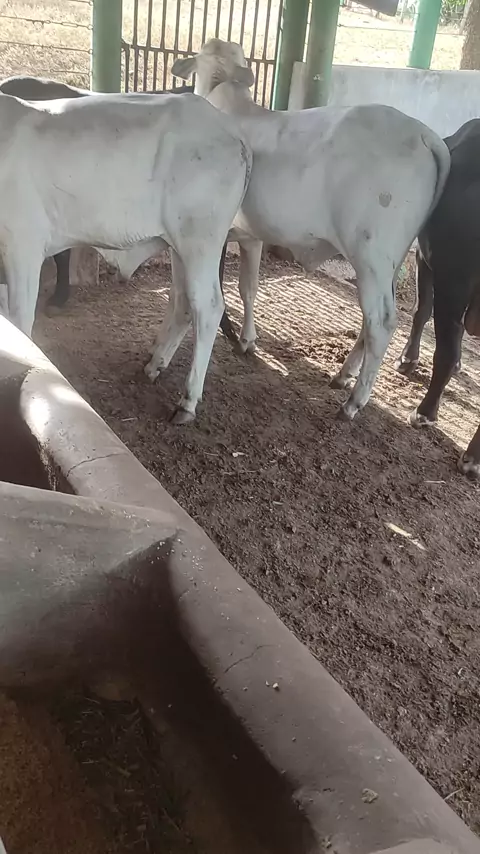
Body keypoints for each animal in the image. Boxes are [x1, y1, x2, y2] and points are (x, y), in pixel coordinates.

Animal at [0, 90, 252, 421]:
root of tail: (233, 131)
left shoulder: (22, 243)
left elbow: (19, 321)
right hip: (179, 245)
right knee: (183, 302)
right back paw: (154, 365)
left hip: (200, 239)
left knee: (208, 306)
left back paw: (187, 401)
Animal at [170, 38, 451, 421]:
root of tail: (424, 134)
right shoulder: (252, 235)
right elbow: (248, 287)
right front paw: (247, 340)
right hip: (391, 262)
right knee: (371, 320)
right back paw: (344, 374)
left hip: (371, 255)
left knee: (382, 321)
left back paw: (354, 401)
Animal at [394, 119, 480, 430]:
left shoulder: (426, 258)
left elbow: (421, 310)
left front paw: (407, 359)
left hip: (453, 281)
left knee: (446, 350)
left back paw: (425, 411)